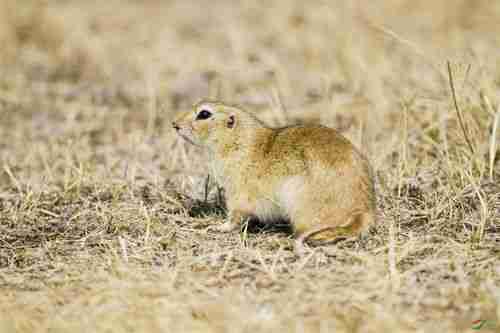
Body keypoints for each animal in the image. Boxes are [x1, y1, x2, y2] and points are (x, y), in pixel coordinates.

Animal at [172, 100, 376, 250]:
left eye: (204, 114)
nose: (174, 124)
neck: (239, 141)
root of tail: (362, 211)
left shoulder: (238, 194)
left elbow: (234, 217)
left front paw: (214, 227)